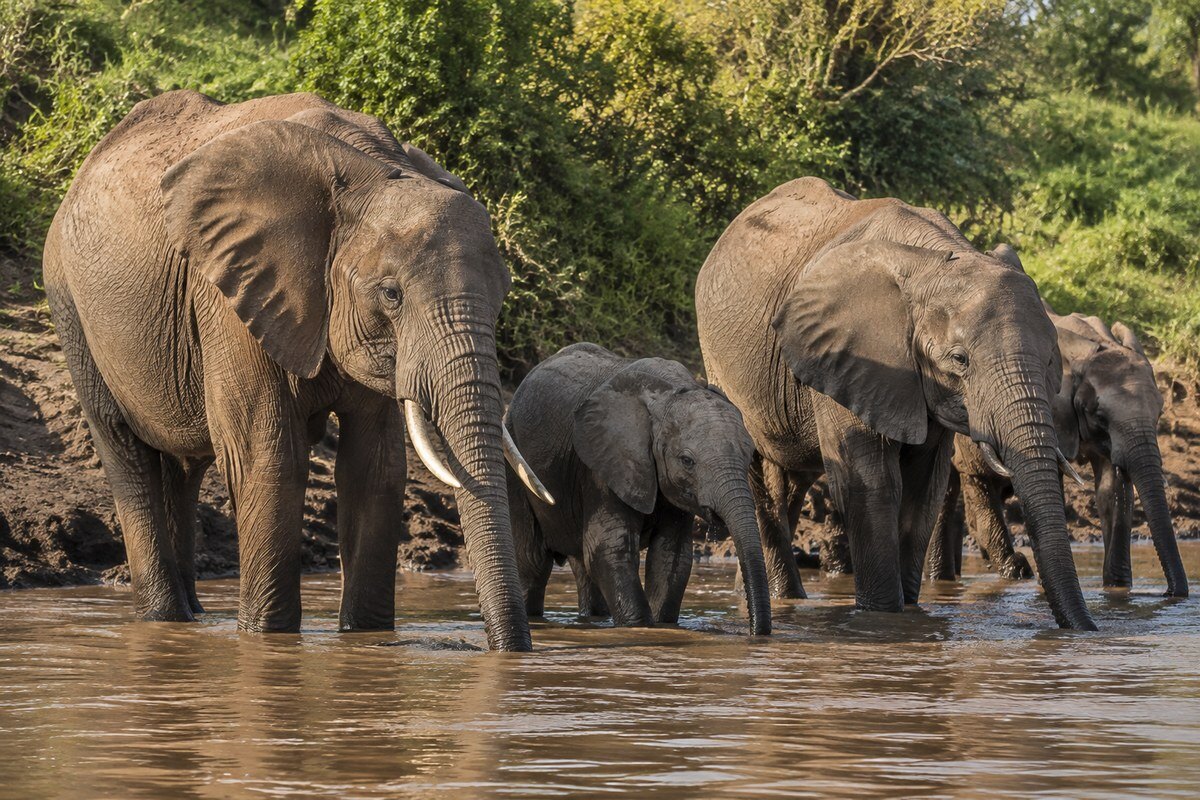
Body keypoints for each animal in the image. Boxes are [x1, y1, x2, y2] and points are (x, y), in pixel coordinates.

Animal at [42, 90, 551, 650]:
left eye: (502, 296)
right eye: (391, 295)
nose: (509, 650)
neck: (372, 170)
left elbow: (375, 466)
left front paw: (365, 640)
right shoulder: (229, 296)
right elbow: (269, 457)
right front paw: (266, 639)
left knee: (182, 467)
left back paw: (192, 617)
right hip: (70, 303)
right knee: (125, 451)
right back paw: (164, 617)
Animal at [504, 343, 772, 634]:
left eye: (749, 456)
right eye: (687, 461)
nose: (753, 632)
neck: (667, 395)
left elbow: (672, 557)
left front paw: (663, 627)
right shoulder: (604, 465)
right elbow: (609, 550)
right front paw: (641, 629)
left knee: (582, 567)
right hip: (516, 462)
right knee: (532, 562)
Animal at [695, 177, 1097, 630]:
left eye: (1050, 361)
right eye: (960, 359)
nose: (1087, 629)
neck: (933, 263)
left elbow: (924, 490)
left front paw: (909, 610)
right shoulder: (850, 354)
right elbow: (871, 484)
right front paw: (883, 617)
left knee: (791, 479)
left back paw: (773, 597)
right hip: (721, 366)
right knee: (761, 479)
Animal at [927, 305, 1189, 596]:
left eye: (1160, 414)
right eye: (1099, 416)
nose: (1169, 593)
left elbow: (1110, 490)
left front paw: (1117, 590)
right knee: (956, 488)